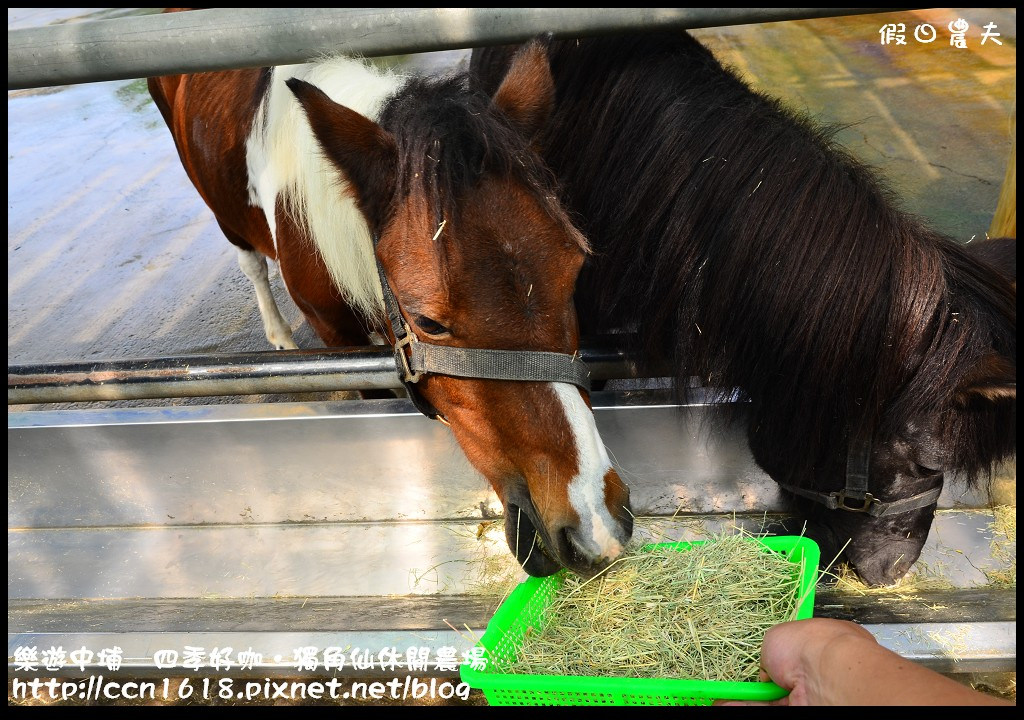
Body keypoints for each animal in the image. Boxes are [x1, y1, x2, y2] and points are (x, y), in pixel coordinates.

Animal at [145, 8, 630, 577]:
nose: (596, 525)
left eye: (574, 271)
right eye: (428, 322)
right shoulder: (338, 337)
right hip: (223, 214)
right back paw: (279, 334)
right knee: (251, 264)